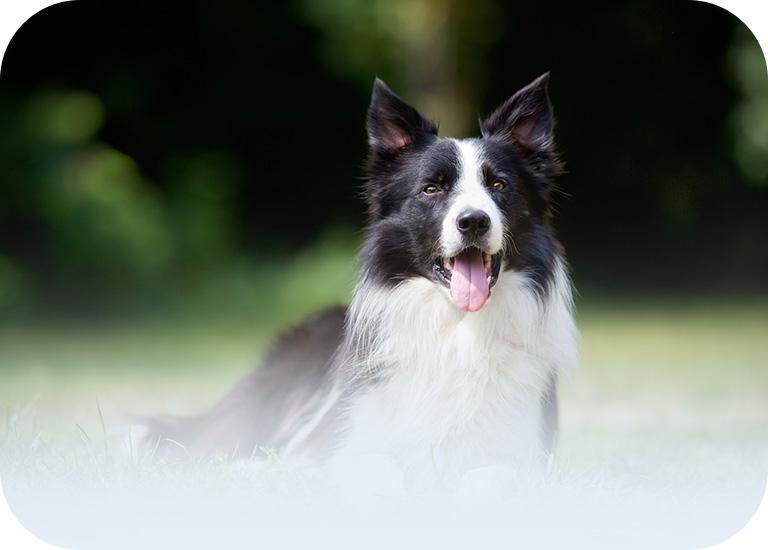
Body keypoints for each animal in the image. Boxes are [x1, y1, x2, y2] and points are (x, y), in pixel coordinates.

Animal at [146, 73, 576, 492]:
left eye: (499, 186)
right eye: (431, 188)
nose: (473, 221)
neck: (457, 329)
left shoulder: (526, 455)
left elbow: (488, 480)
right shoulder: (347, 440)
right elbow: (380, 473)